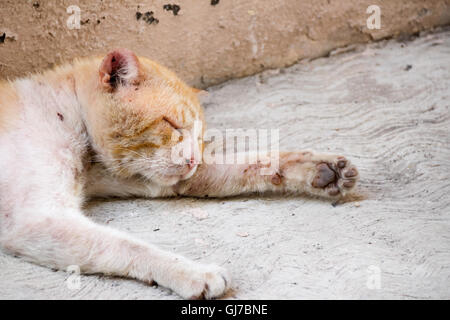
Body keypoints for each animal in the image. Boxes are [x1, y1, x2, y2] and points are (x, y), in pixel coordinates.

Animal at [0, 48, 358, 298]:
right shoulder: (34, 219)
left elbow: (247, 164)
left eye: (199, 138)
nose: (192, 161)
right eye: (171, 125)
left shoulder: (145, 180)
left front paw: (320, 170)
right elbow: (125, 246)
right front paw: (192, 273)